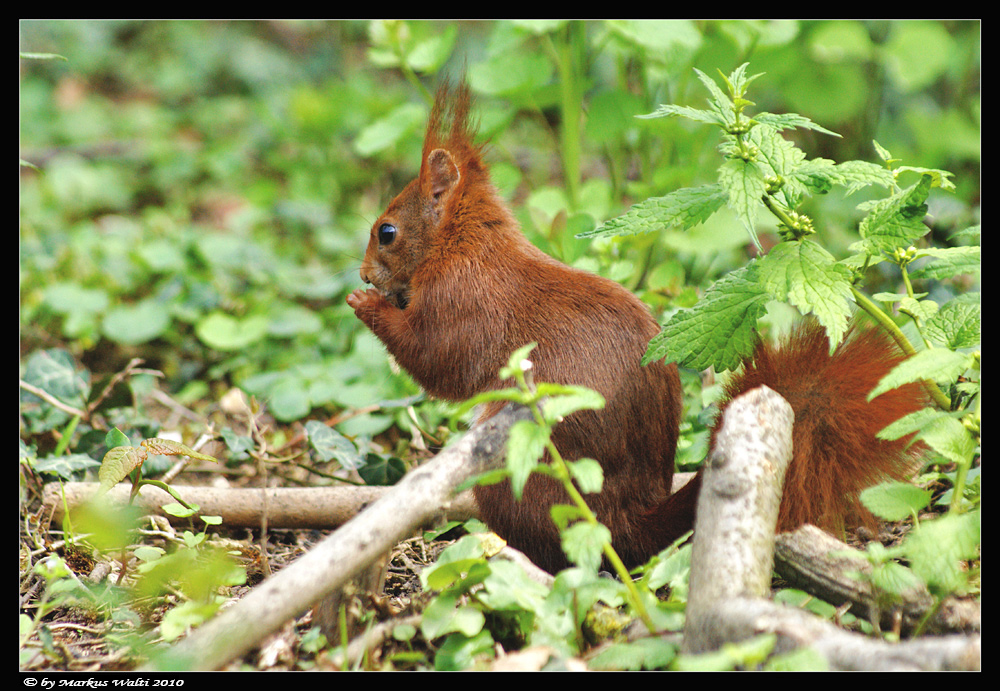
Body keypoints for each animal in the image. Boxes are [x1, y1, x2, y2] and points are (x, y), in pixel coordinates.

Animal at [348, 82, 924, 572]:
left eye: (387, 232)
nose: (362, 273)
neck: (463, 244)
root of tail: (629, 521)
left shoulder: (461, 303)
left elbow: (434, 360)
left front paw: (365, 304)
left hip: (524, 468)